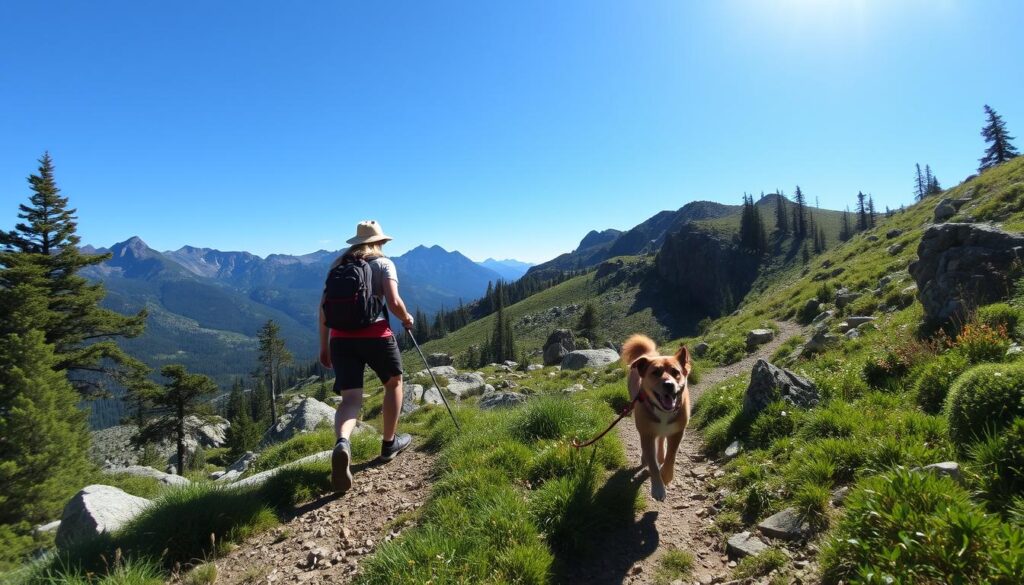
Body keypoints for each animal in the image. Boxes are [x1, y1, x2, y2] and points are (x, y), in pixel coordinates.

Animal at [618, 333, 692, 504]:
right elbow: (652, 464)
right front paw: (658, 487)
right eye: (655, 372)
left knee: (662, 439)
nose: (669, 385)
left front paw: (666, 475)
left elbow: (671, 456)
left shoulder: (677, 432)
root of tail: (649, 354)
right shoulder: (647, 434)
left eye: (676, 372)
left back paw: (661, 454)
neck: (663, 411)